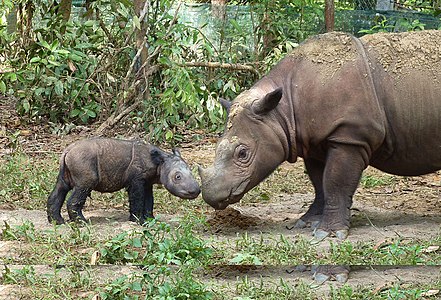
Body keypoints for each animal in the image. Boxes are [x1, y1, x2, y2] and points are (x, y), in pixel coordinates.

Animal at [47, 137, 199, 224]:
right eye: (177, 177)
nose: (196, 191)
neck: (159, 162)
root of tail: (67, 150)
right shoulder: (136, 180)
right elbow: (137, 198)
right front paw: (139, 221)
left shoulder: (147, 181)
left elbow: (149, 200)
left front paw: (151, 219)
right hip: (82, 161)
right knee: (83, 187)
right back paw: (82, 223)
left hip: (70, 162)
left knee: (61, 187)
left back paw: (57, 222)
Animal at [199, 29, 440, 239]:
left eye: (242, 153)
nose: (210, 197)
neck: (281, 111)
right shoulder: (313, 141)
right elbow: (319, 182)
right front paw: (307, 222)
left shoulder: (350, 136)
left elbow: (335, 181)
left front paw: (329, 233)